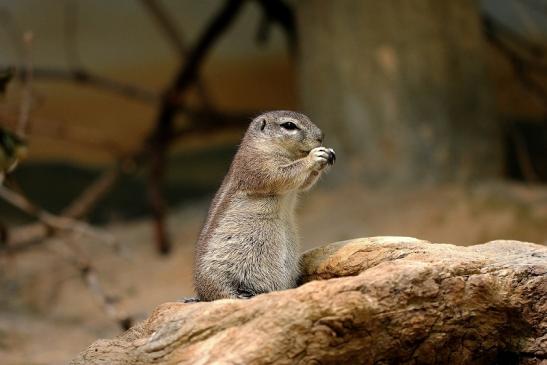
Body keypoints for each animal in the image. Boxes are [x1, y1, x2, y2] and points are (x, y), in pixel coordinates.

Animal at [195, 111, 336, 302]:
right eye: (289, 125)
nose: (321, 137)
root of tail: (201, 293)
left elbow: (304, 184)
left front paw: (329, 153)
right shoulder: (259, 165)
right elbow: (283, 174)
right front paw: (314, 157)